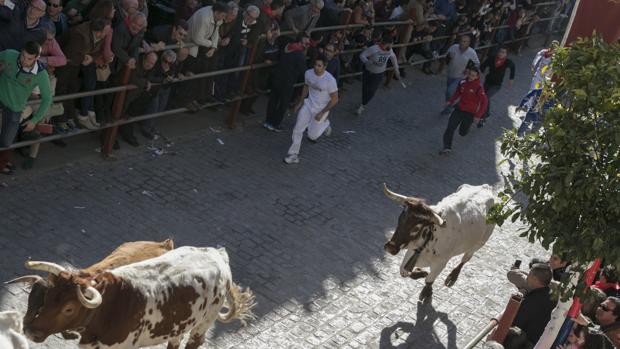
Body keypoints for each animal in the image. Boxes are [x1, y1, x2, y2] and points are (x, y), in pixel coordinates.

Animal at [17, 246, 254, 346]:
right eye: (47, 297)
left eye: (69, 308)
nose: (30, 331)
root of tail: (217, 253)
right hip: (181, 324)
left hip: (203, 324)